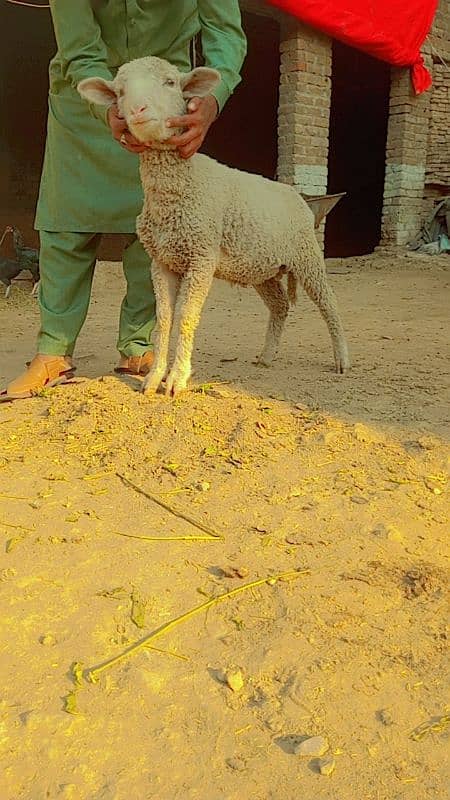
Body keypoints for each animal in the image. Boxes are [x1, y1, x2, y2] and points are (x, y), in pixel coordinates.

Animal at [79, 57, 350, 396]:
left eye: (170, 82)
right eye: (120, 92)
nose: (138, 110)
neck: (178, 190)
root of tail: (296, 196)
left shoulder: (202, 256)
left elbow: (186, 316)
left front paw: (177, 379)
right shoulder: (163, 261)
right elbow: (164, 318)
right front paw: (154, 377)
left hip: (307, 254)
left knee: (329, 303)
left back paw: (341, 359)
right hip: (263, 268)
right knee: (280, 306)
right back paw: (267, 356)